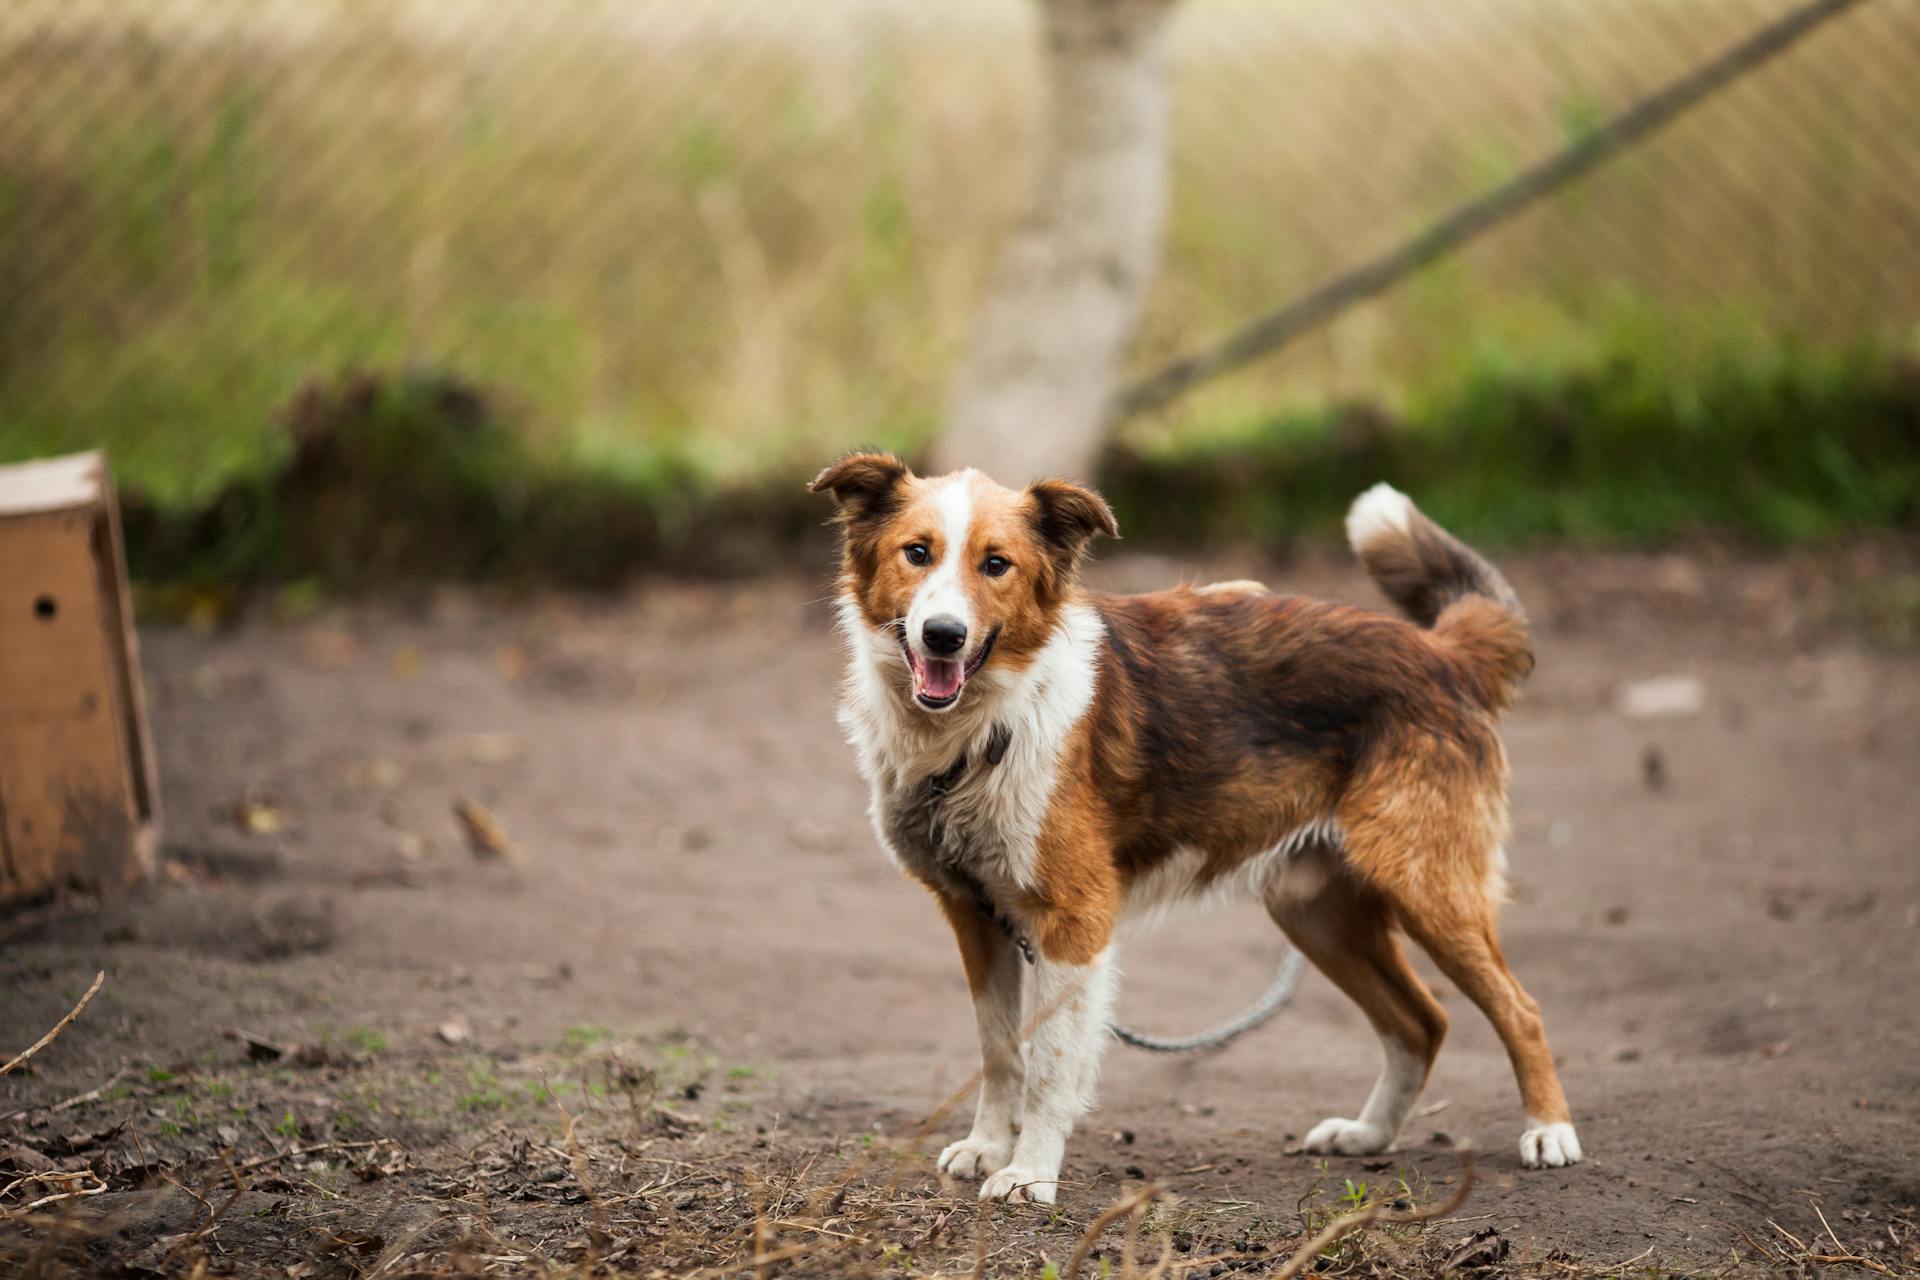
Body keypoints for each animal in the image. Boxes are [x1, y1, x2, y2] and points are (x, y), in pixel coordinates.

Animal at [810, 454, 1574, 1205]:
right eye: (917, 553)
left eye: (996, 565)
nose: (943, 635)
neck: (986, 726)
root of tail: (1443, 653)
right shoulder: (976, 915)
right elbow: (1001, 1049)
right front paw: (989, 1147)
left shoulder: (1074, 922)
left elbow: (1050, 1064)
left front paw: (1030, 1173)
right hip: (1316, 911)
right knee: (1422, 1021)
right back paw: (1369, 1134)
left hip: (1428, 888)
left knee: (1521, 1009)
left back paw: (1549, 1133)